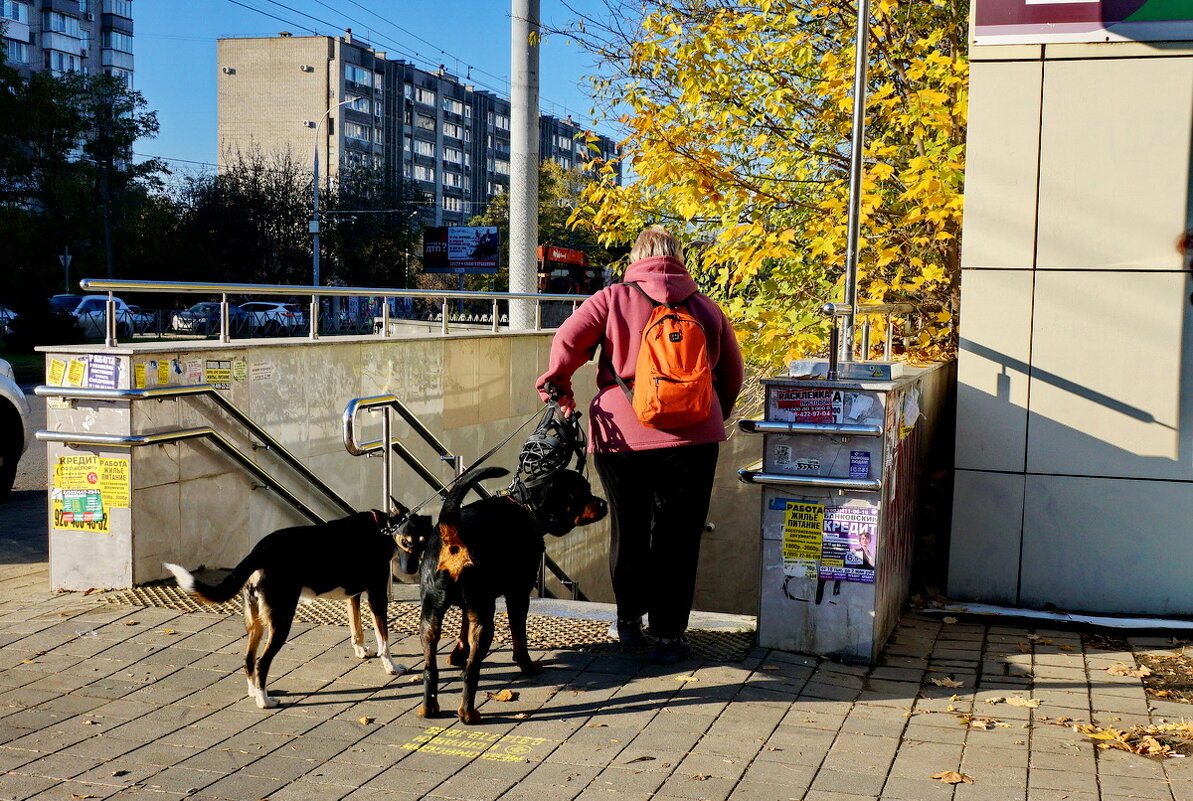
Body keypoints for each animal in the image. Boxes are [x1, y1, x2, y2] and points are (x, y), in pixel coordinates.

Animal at [165, 503, 431, 711]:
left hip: (256, 621)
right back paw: (264, 701)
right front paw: (391, 667)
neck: (382, 529)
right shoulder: (377, 595)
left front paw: (361, 650)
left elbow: (357, 628)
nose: (411, 571)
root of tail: (259, 551)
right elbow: (383, 638)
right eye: (405, 541)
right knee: (261, 662)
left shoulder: (354, 595)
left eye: (422, 542)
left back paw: (255, 691)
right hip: (281, 620)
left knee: (249, 660)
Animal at [419, 463, 606, 725]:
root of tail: (452, 532)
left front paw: (457, 655)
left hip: (430, 614)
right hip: (485, 618)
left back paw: (429, 708)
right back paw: (468, 714)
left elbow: (463, 630)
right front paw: (527, 665)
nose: (604, 504)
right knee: (471, 671)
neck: (526, 508)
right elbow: (519, 635)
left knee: (430, 668)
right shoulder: (518, 593)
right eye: (581, 492)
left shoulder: (469, 606)